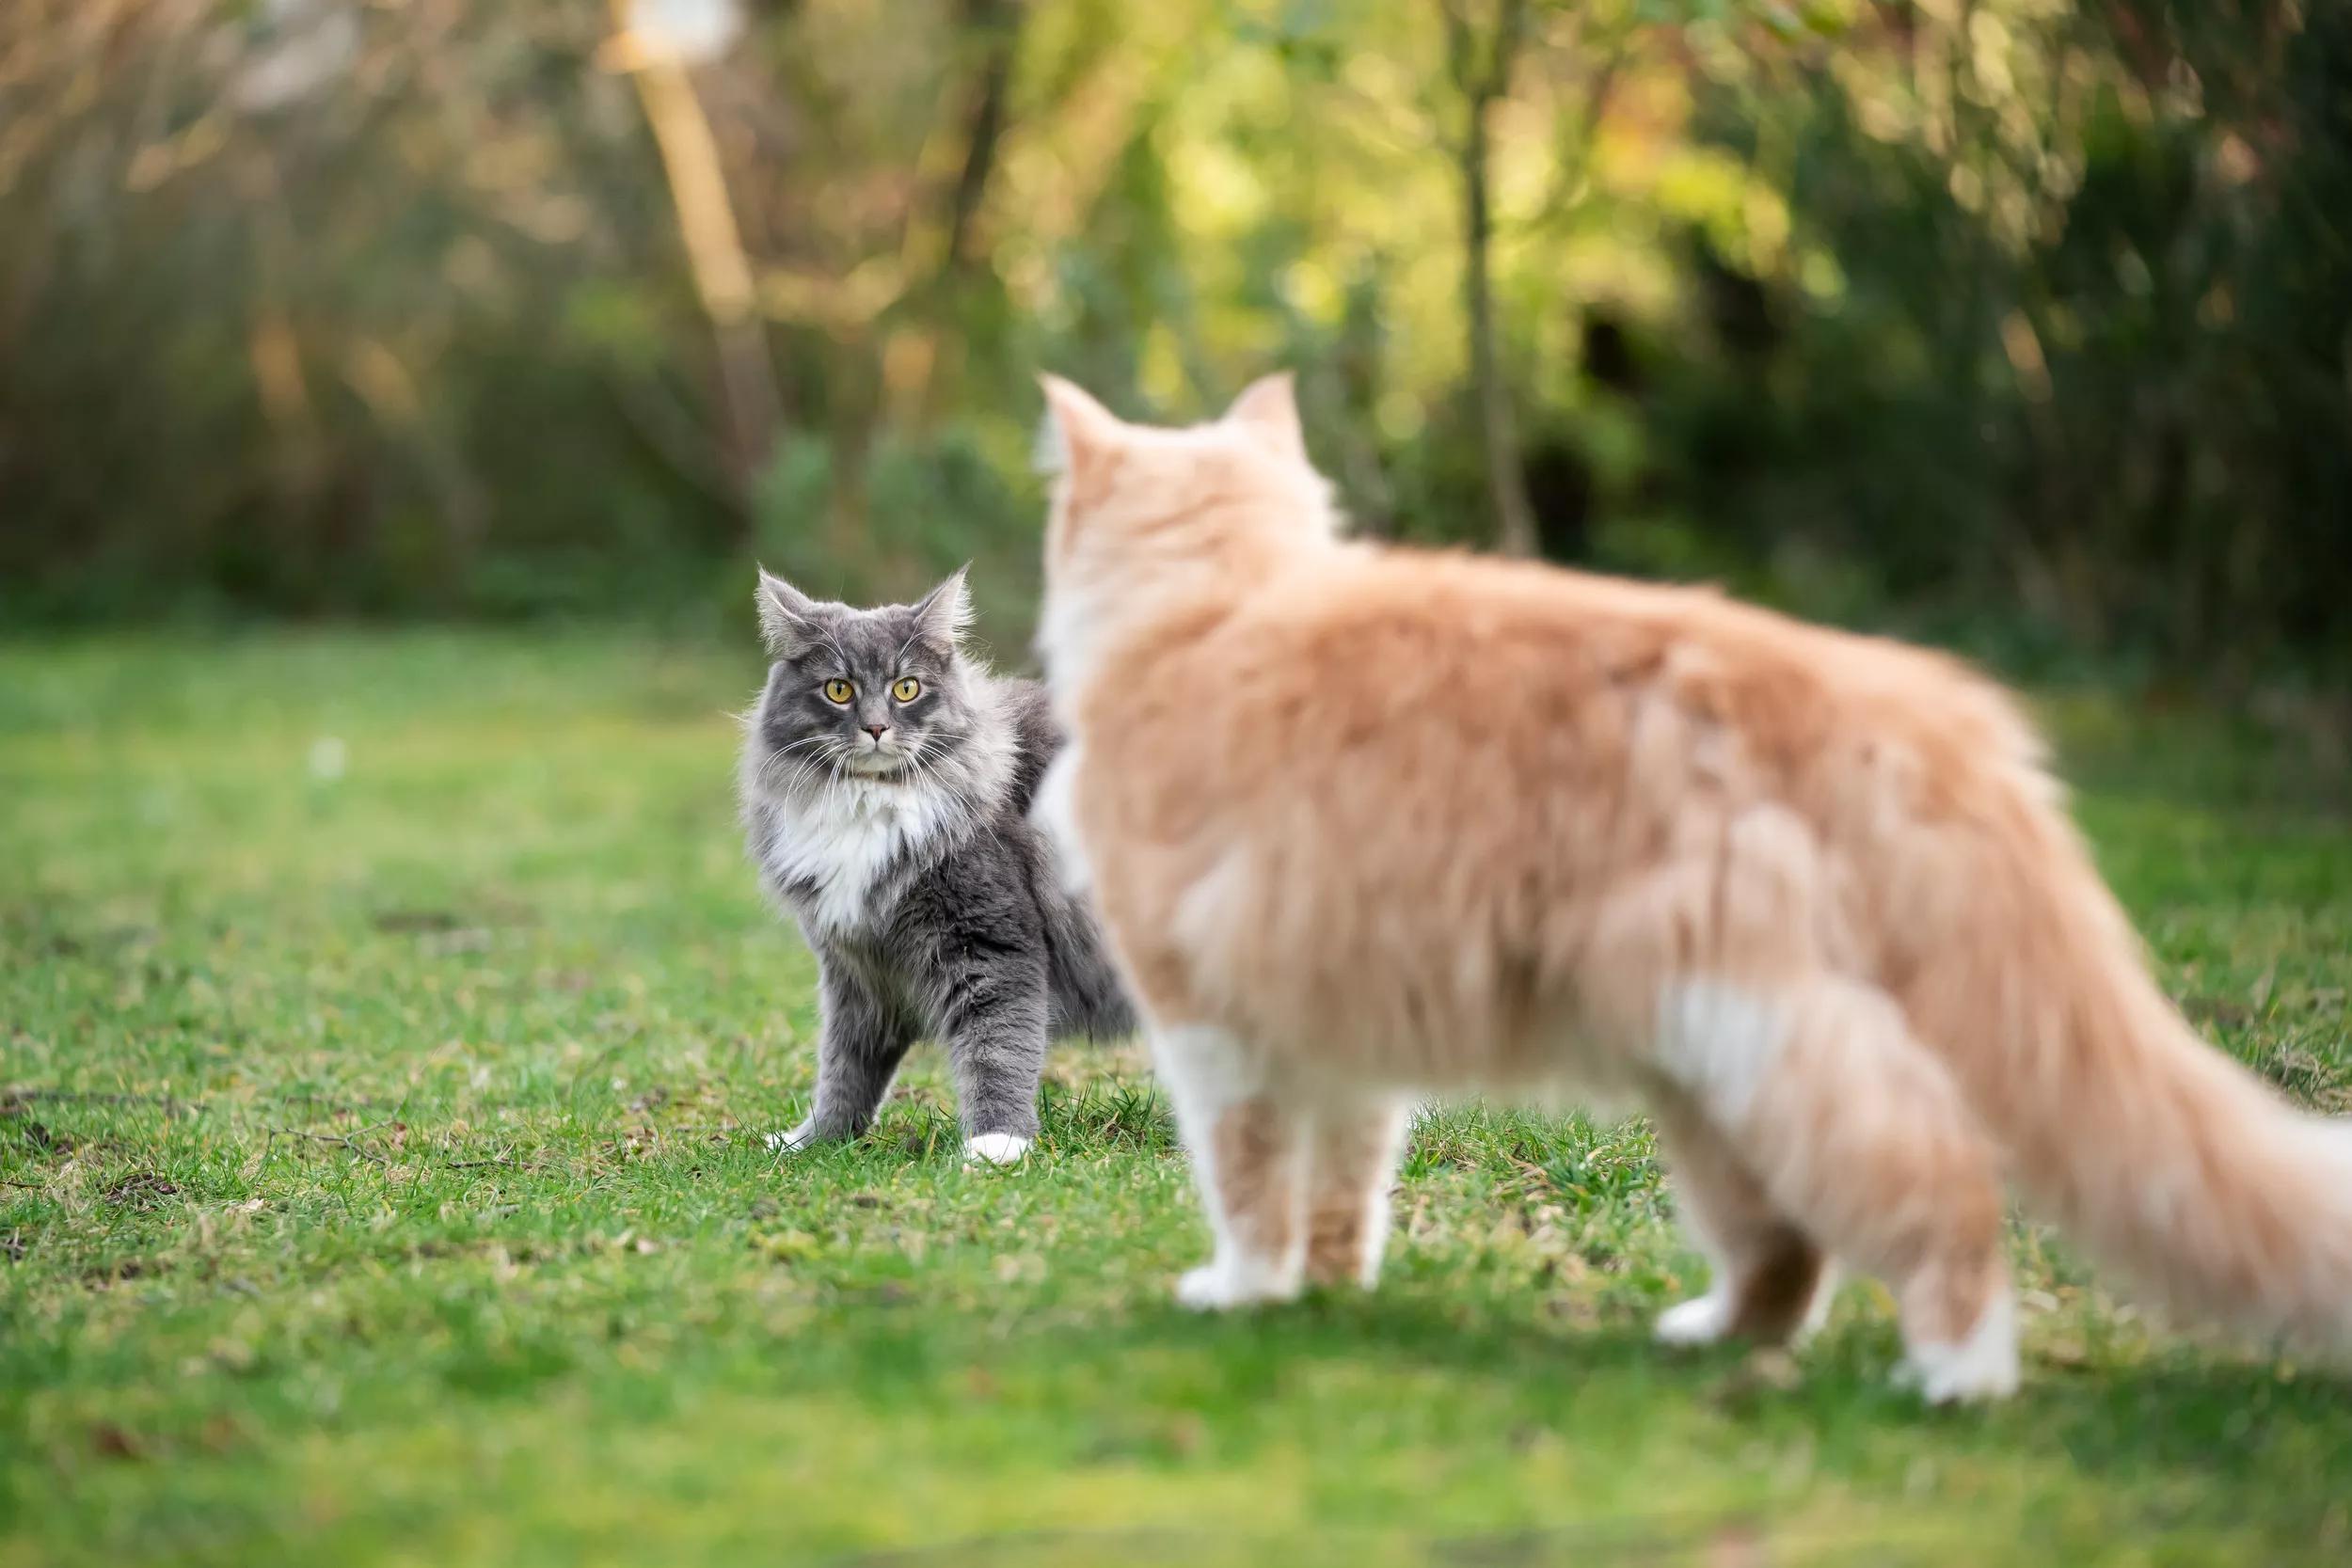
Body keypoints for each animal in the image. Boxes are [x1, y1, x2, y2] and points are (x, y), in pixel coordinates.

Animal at [739, 566, 1134, 1165]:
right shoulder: (857, 968)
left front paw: (997, 1144)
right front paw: (814, 1141)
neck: (871, 806)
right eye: (838, 689)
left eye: (907, 688)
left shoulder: (992, 945)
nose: (876, 728)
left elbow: (997, 1050)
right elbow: (844, 1068)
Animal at [1035, 373, 2352, 1401]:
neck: (1218, 603)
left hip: (1758, 1035)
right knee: (1789, 1251)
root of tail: (1903, 704)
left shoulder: (1209, 1024)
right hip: (1700, 1076)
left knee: (1938, 1186)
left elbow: (1246, 1178)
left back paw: (1956, 1373)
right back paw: (1714, 1335)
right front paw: (1325, 1293)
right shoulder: (1336, 1029)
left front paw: (1241, 1291)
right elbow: (1340, 1187)